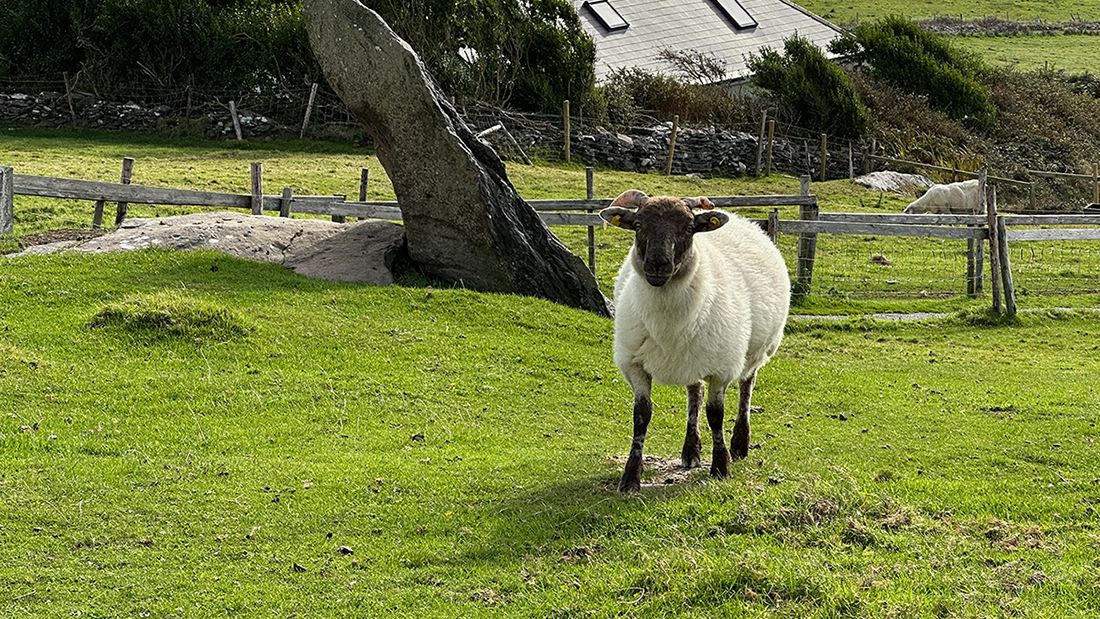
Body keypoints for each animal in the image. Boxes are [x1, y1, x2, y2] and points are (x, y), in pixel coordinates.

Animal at [602, 190, 792, 494]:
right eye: (638, 225)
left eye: (689, 228)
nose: (658, 264)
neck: (667, 320)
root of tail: (742, 220)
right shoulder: (635, 365)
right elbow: (641, 416)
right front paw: (630, 478)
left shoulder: (722, 368)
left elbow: (716, 414)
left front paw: (721, 467)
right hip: (693, 354)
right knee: (695, 394)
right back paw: (691, 450)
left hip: (755, 351)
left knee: (746, 387)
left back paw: (740, 444)